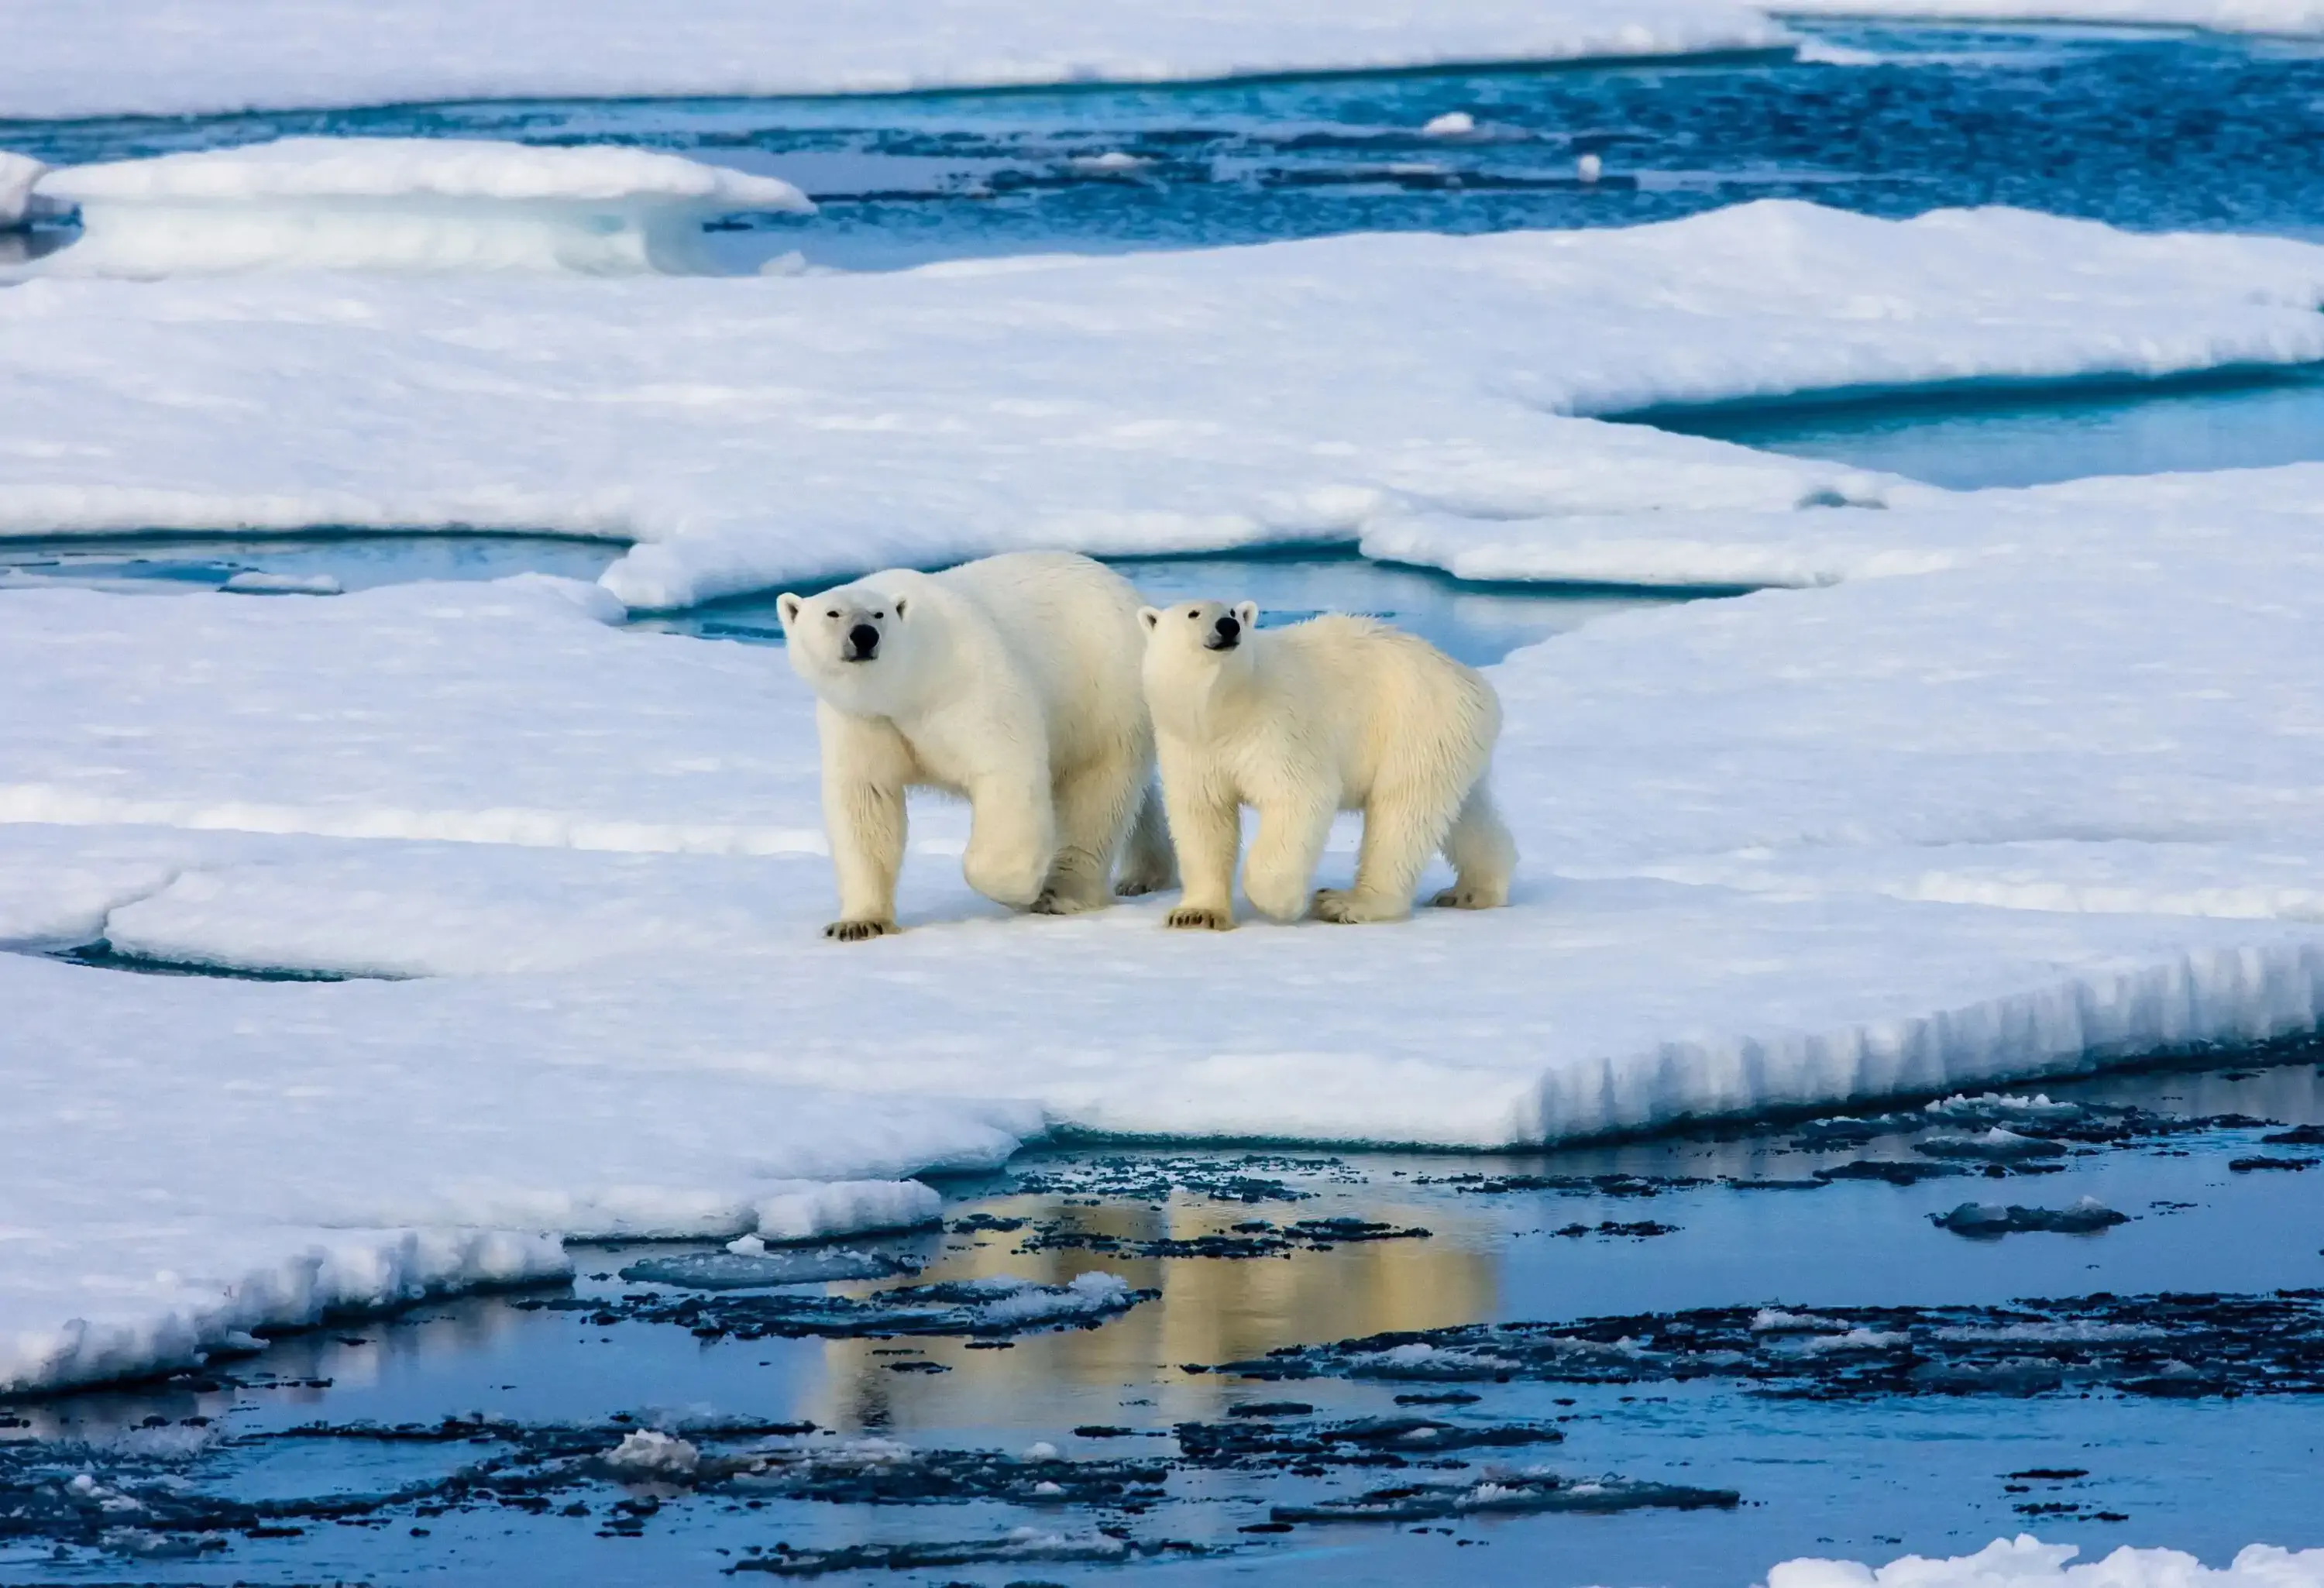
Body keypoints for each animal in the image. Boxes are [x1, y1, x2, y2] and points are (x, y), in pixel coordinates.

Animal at [778, 551, 1175, 940]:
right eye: (833, 613)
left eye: (879, 614)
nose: (864, 636)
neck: (910, 684)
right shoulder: (863, 719)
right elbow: (866, 801)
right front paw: (858, 923)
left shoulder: (968, 687)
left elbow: (1005, 772)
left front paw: (1022, 890)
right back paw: (1144, 874)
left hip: (1102, 692)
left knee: (1095, 792)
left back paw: (1061, 893)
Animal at [1138, 599, 1514, 928]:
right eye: (1194, 613)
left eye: (1233, 612)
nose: (1228, 627)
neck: (1224, 710)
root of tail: (1474, 683)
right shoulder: (1191, 747)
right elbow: (1203, 817)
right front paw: (1196, 914)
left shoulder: (1276, 729)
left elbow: (1300, 797)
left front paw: (1284, 904)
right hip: (1451, 742)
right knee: (1464, 814)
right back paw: (1473, 891)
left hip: (1415, 726)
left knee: (1400, 814)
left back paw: (1346, 903)